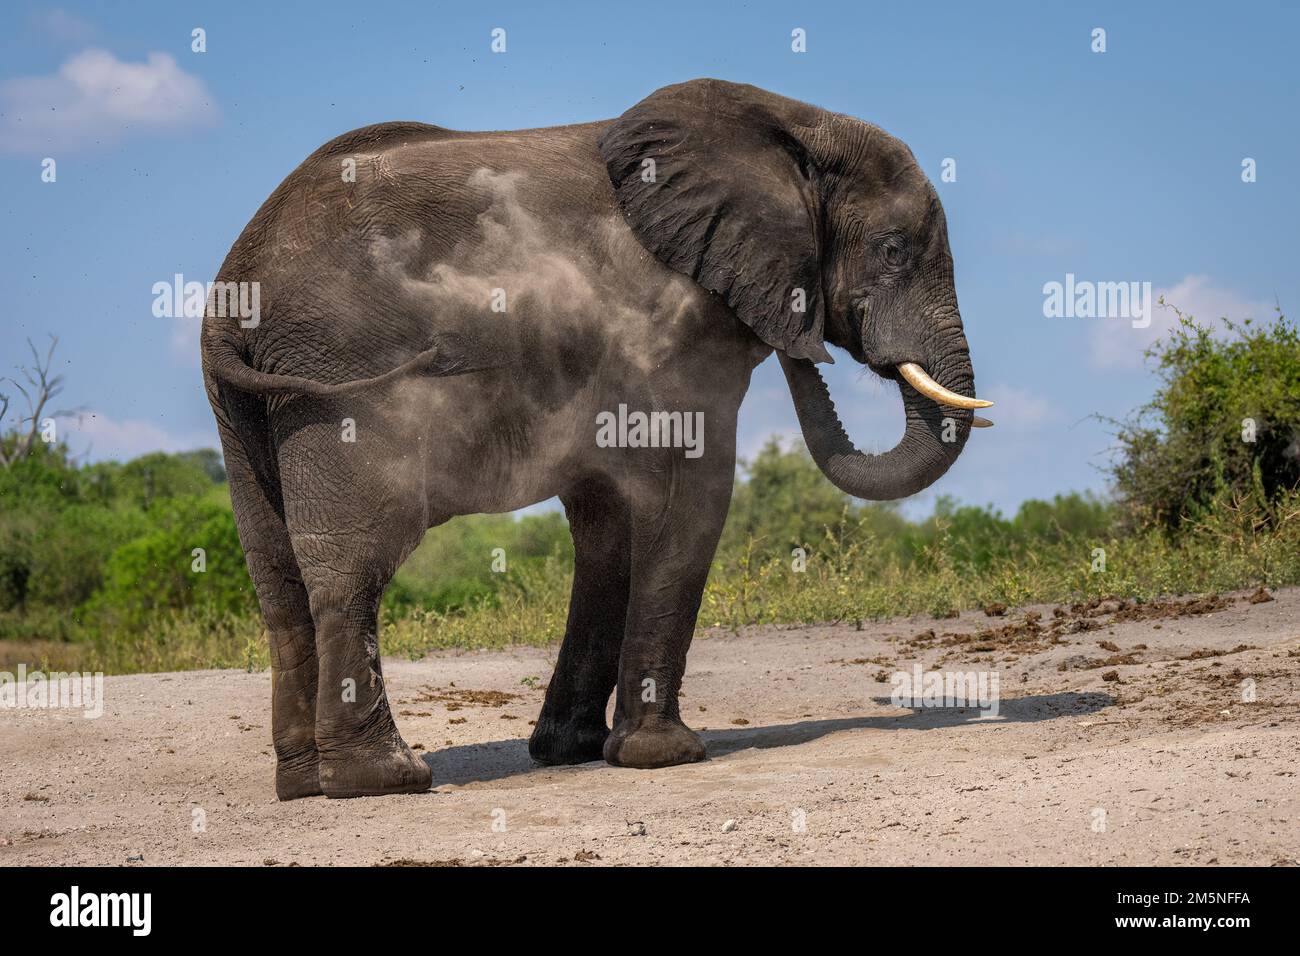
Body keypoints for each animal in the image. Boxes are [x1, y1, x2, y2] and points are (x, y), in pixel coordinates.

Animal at [201, 78, 992, 799]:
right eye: (894, 251)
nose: (810, 344)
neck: (792, 122)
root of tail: (236, 283)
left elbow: (607, 530)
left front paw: (569, 751)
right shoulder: (677, 333)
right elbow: (693, 497)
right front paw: (667, 757)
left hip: (244, 412)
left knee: (277, 582)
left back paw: (302, 785)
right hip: (340, 379)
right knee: (349, 568)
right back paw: (386, 779)